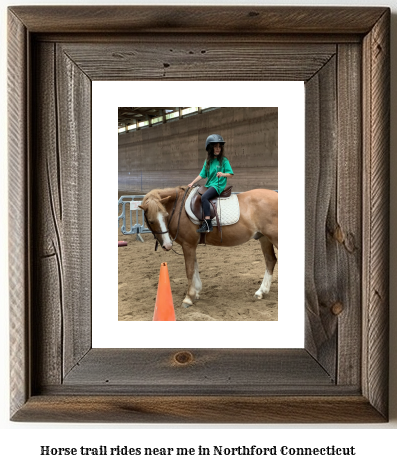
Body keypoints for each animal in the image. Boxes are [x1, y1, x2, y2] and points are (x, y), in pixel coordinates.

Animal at [138, 186, 276, 312]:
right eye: (151, 221)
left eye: (165, 216)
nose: (167, 245)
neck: (180, 209)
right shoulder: (191, 245)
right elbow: (195, 267)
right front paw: (196, 292)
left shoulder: (188, 245)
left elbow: (189, 270)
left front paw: (188, 298)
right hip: (264, 238)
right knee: (270, 261)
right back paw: (261, 291)